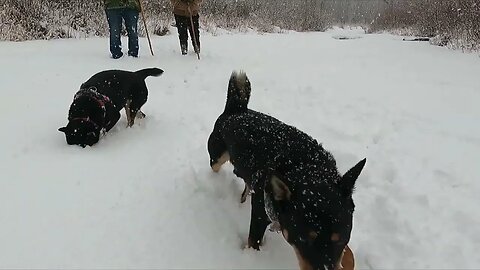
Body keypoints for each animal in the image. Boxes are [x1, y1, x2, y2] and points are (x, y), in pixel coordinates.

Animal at [207, 71, 368, 270]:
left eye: (340, 239)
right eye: (304, 240)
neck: (305, 165)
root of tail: (236, 109)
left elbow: (348, 255)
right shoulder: (260, 214)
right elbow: (253, 242)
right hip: (217, 156)